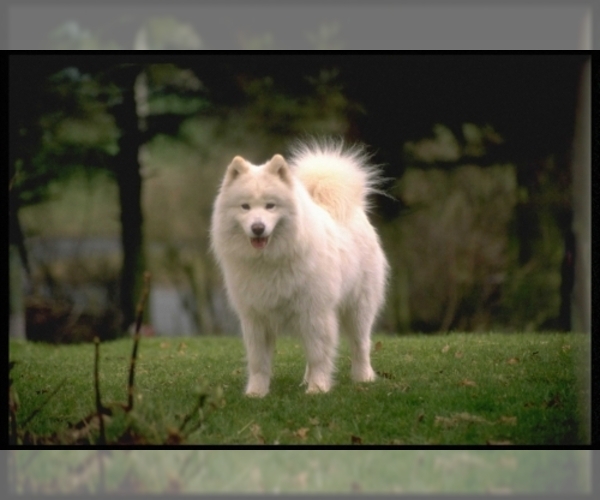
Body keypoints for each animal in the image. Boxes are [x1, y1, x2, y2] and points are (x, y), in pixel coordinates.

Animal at [211, 139, 390, 396]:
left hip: (358, 308)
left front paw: (318, 388)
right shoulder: (256, 319)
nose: (257, 228)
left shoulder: (315, 313)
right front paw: (256, 392)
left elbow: (319, 355)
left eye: (270, 206)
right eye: (245, 207)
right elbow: (258, 361)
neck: (269, 261)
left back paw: (363, 377)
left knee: (360, 345)